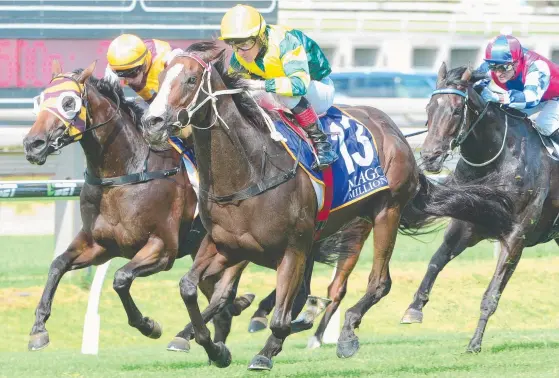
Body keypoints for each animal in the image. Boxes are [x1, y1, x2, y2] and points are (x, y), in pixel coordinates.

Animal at [21, 61, 254, 352]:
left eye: (68, 102)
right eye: (40, 100)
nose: (33, 144)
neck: (125, 173)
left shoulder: (162, 248)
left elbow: (121, 279)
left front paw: (148, 325)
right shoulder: (101, 245)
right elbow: (57, 265)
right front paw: (38, 329)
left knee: (223, 295)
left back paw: (186, 336)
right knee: (218, 299)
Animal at [141, 42, 516, 370]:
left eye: (191, 80)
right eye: (160, 78)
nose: (152, 122)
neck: (250, 170)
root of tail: (393, 128)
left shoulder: (293, 246)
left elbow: (278, 315)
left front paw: (264, 352)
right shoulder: (226, 244)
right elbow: (192, 288)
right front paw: (211, 347)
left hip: (385, 212)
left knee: (378, 283)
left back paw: (347, 333)